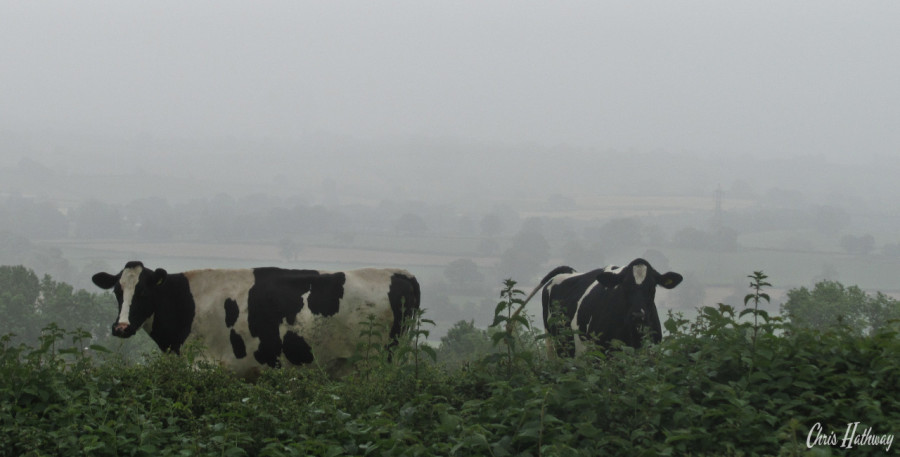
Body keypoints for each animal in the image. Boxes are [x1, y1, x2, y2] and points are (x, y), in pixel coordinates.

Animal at [93, 260, 424, 378]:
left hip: (377, 363)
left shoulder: (205, 367)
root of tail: (400, 273)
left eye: (144, 291)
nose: (121, 327)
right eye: (118, 291)